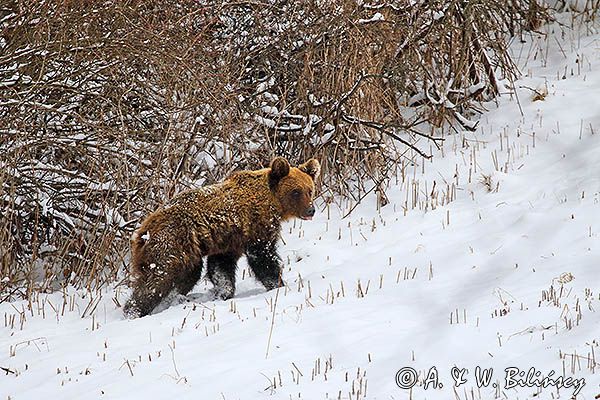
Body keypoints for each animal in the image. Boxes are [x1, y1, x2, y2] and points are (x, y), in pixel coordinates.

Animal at [122, 158, 318, 318]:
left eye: (310, 190)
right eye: (296, 191)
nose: (311, 210)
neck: (272, 203)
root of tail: (143, 230)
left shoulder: (229, 240)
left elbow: (220, 267)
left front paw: (223, 291)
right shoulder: (256, 228)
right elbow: (263, 259)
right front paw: (278, 284)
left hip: (187, 254)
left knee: (186, 276)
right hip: (170, 243)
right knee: (157, 279)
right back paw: (133, 311)